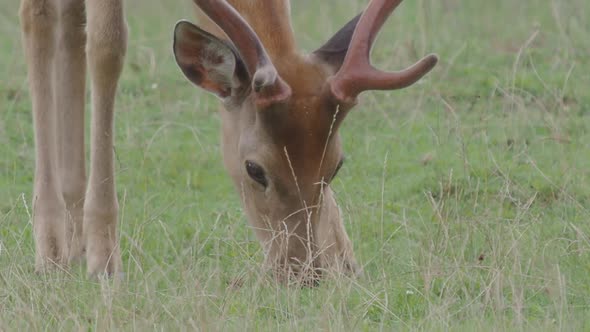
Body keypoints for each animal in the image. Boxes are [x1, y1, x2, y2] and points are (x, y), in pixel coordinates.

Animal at [18, 0, 438, 282]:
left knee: (71, 25)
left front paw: (345, 257)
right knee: (42, 18)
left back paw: (73, 236)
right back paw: (54, 246)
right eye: (255, 169)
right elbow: (108, 45)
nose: (303, 272)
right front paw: (104, 259)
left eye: (336, 164)